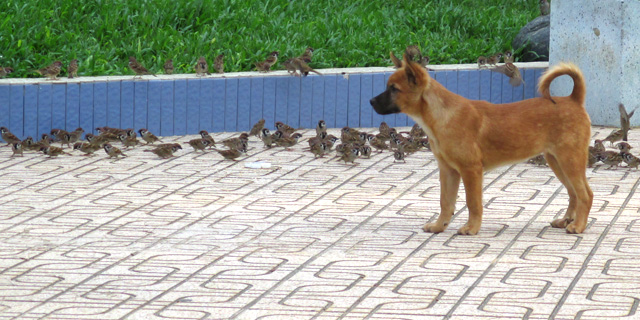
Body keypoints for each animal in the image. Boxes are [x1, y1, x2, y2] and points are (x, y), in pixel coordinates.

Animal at [370, 53, 596, 235]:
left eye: (394, 89)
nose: (371, 102)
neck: (441, 116)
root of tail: (573, 99)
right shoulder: (448, 171)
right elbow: (445, 202)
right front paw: (439, 226)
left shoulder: (470, 170)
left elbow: (473, 203)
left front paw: (471, 228)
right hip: (556, 161)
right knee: (573, 193)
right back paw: (567, 220)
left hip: (570, 160)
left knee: (586, 194)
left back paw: (578, 226)